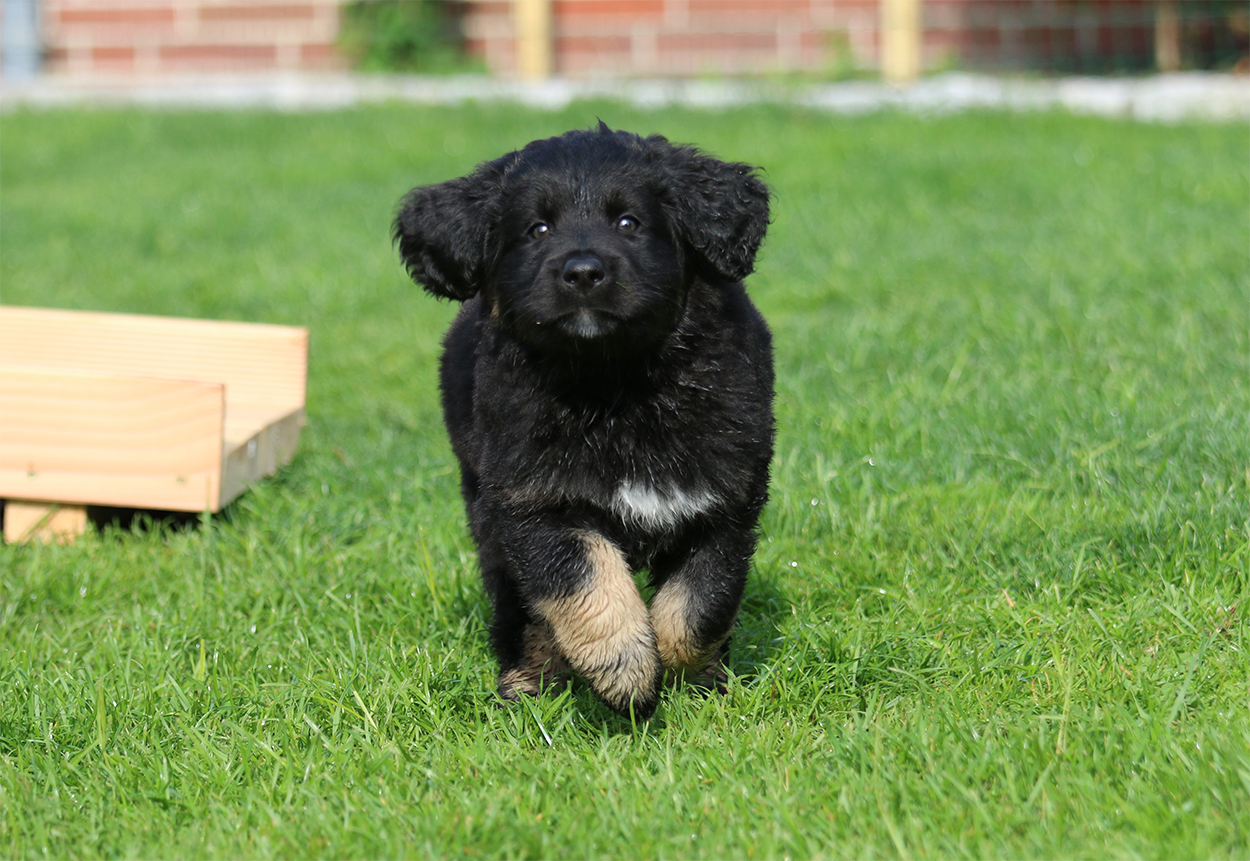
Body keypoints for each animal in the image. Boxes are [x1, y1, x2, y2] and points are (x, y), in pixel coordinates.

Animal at [393, 123, 774, 718]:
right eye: (538, 228)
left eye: (628, 223)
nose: (583, 273)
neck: (615, 385)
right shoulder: (532, 502)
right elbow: (584, 579)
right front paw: (625, 670)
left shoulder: (724, 503)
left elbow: (699, 605)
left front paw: (690, 673)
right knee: (519, 607)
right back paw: (527, 681)